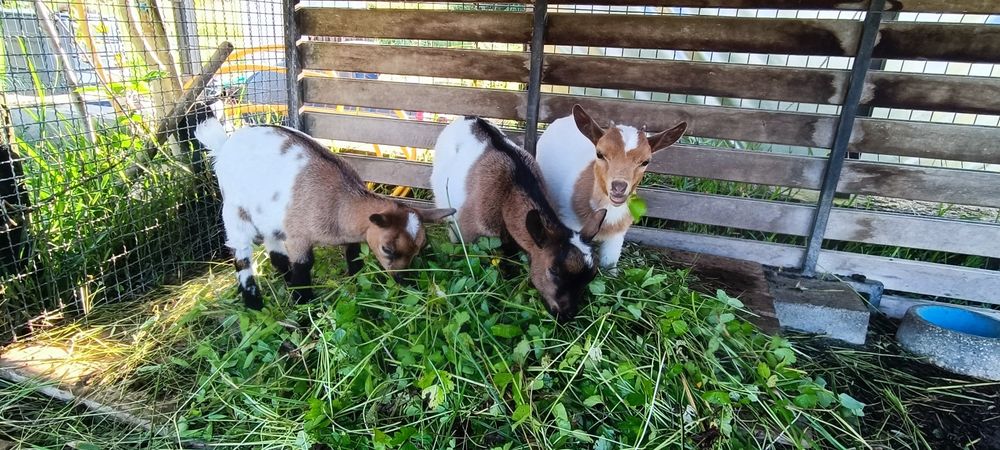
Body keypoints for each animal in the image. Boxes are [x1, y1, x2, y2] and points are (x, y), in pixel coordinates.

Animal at [193, 109, 455, 310]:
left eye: (419, 248)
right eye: (387, 249)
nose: (404, 280)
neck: (338, 203)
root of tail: (224, 144)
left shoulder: (351, 234)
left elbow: (354, 255)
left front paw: (355, 281)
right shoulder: (298, 236)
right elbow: (304, 265)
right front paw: (303, 303)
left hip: (269, 216)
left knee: (274, 250)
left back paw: (284, 278)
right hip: (235, 211)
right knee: (242, 255)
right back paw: (254, 303)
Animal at [431, 116, 607, 322]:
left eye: (591, 277)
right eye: (553, 270)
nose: (566, 315)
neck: (508, 194)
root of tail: (467, 118)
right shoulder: (472, 236)